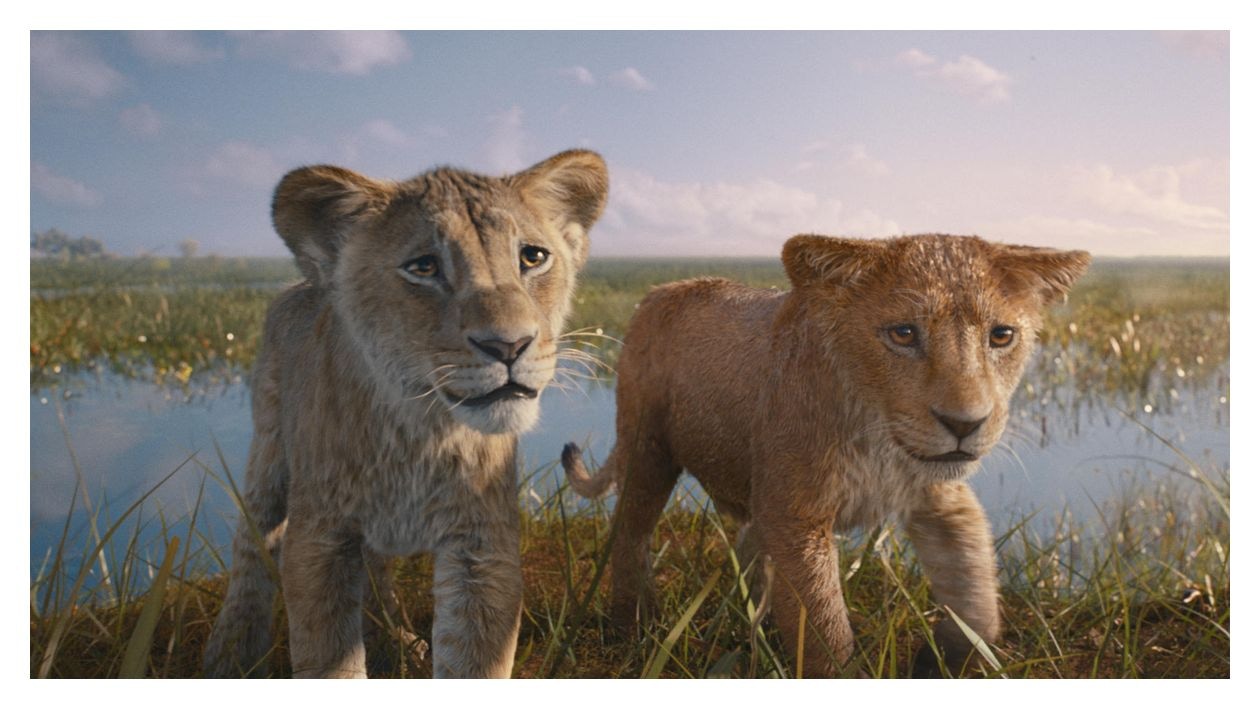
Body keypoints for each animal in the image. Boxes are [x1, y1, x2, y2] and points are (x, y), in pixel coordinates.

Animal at [203, 150, 608, 678]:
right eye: (424, 266)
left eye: (532, 257)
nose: (509, 346)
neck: (421, 431)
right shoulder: (320, 539)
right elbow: (328, 661)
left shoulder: (482, 546)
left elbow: (473, 662)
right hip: (268, 449)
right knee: (253, 542)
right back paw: (230, 653)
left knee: (375, 567)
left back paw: (394, 639)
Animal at [562, 233, 1089, 677]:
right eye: (903, 334)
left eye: (1001, 336)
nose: (965, 425)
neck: (878, 438)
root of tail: (662, 289)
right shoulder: (797, 515)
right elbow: (825, 626)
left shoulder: (940, 500)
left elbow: (976, 591)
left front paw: (948, 657)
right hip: (647, 448)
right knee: (631, 533)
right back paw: (634, 626)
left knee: (751, 548)